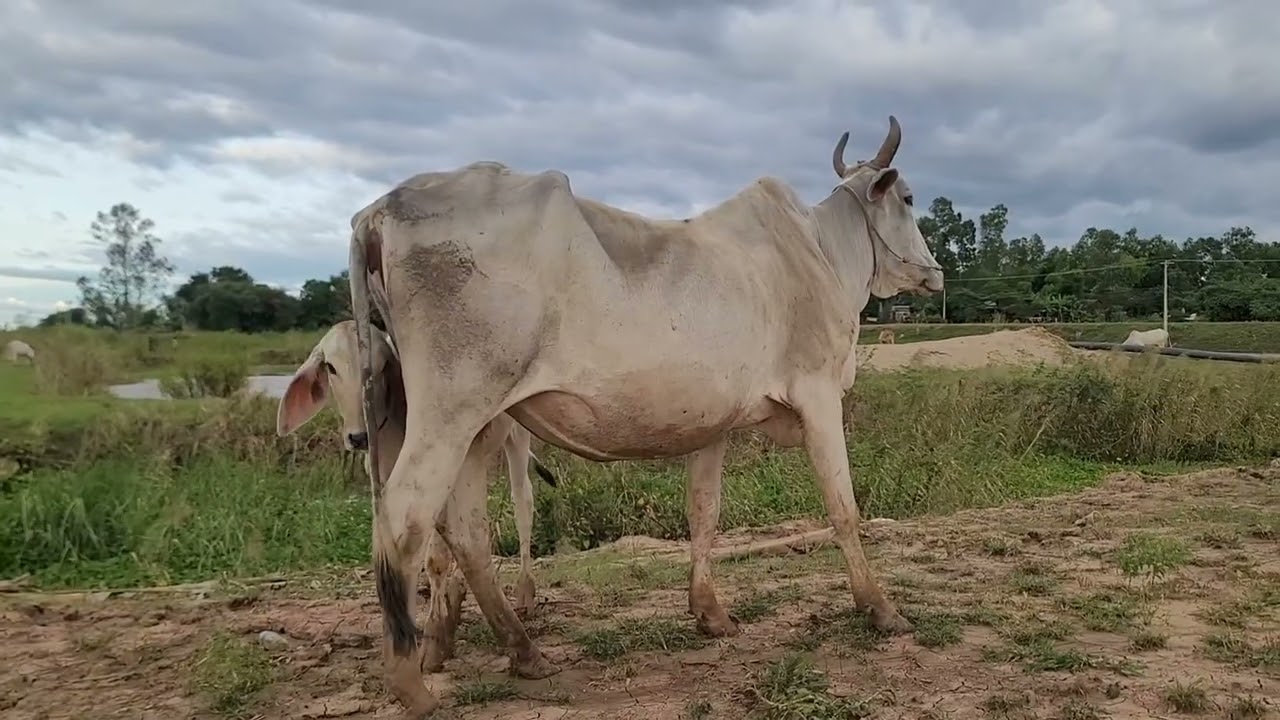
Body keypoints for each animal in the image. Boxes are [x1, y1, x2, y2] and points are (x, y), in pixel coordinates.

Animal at [274, 320, 556, 670]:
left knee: (522, 502)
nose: (359, 437)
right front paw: (442, 617)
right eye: (331, 367)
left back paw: (524, 593)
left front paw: (437, 636)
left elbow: (436, 557)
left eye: (382, 366)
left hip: (517, 437)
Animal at [350, 116, 945, 717]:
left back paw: (524, 652)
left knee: (465, 529)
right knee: (404, 517)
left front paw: (711, 614)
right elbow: (844, 509)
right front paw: (881, 609)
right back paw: (411, 684)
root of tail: (378, 208)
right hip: (451, 412)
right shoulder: (819, 394)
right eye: (909, 198)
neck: (821, 251)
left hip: (475, 428)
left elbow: (704, 512)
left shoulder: (713, 426)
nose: (935, 274)